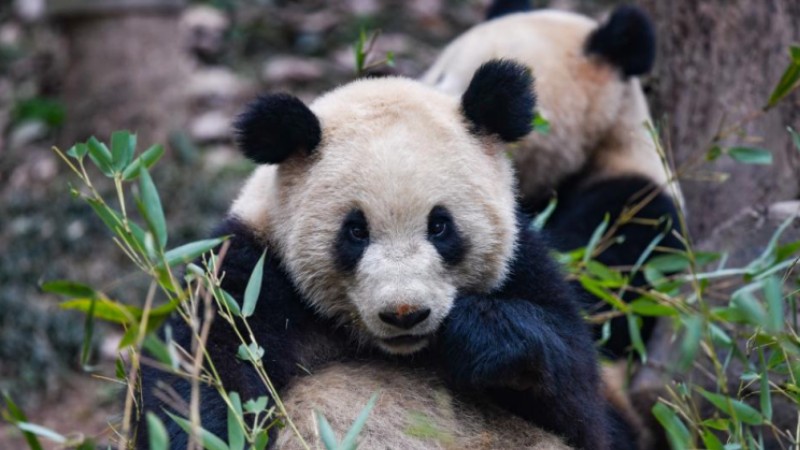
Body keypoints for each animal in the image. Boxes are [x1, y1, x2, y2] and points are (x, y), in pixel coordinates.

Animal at [136, 60, 636, 450]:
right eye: (356, 231)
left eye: (440, 226)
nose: (405, 313)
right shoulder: (249, 275)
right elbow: (205, 382)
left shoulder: (523, 264)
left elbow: (581, 402)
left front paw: (479, 335)